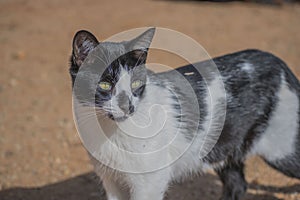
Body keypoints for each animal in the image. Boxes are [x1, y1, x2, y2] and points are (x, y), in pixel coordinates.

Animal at [69, 28, 300, 200]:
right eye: (105, 85)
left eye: (136, 83)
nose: (128, 106)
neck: (110, 132)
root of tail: (279, 63)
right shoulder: (111, 180)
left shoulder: (149, 182)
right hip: (222, 147)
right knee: (238, 184)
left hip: (282, 151)